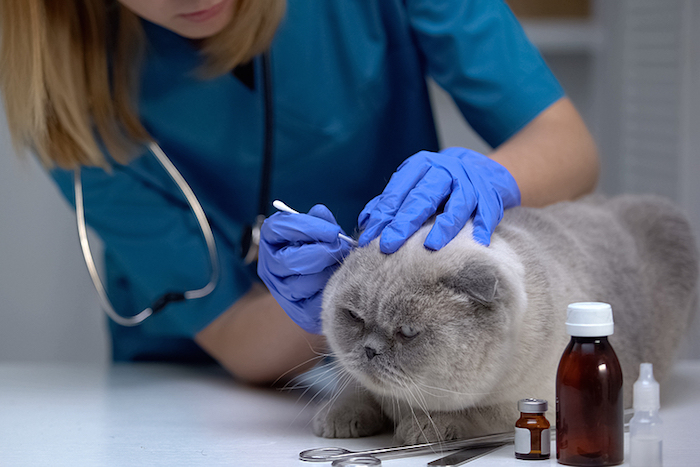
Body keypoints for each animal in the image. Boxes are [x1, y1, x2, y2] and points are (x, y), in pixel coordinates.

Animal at [314, 196, 696, 444]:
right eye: (354, 317)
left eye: (407, 332)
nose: (369, 351)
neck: (403, 402)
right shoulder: (361, 381)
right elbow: (356, 390)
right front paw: (336, 420)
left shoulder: (527, 403)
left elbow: (469, 414)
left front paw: (419, 429)